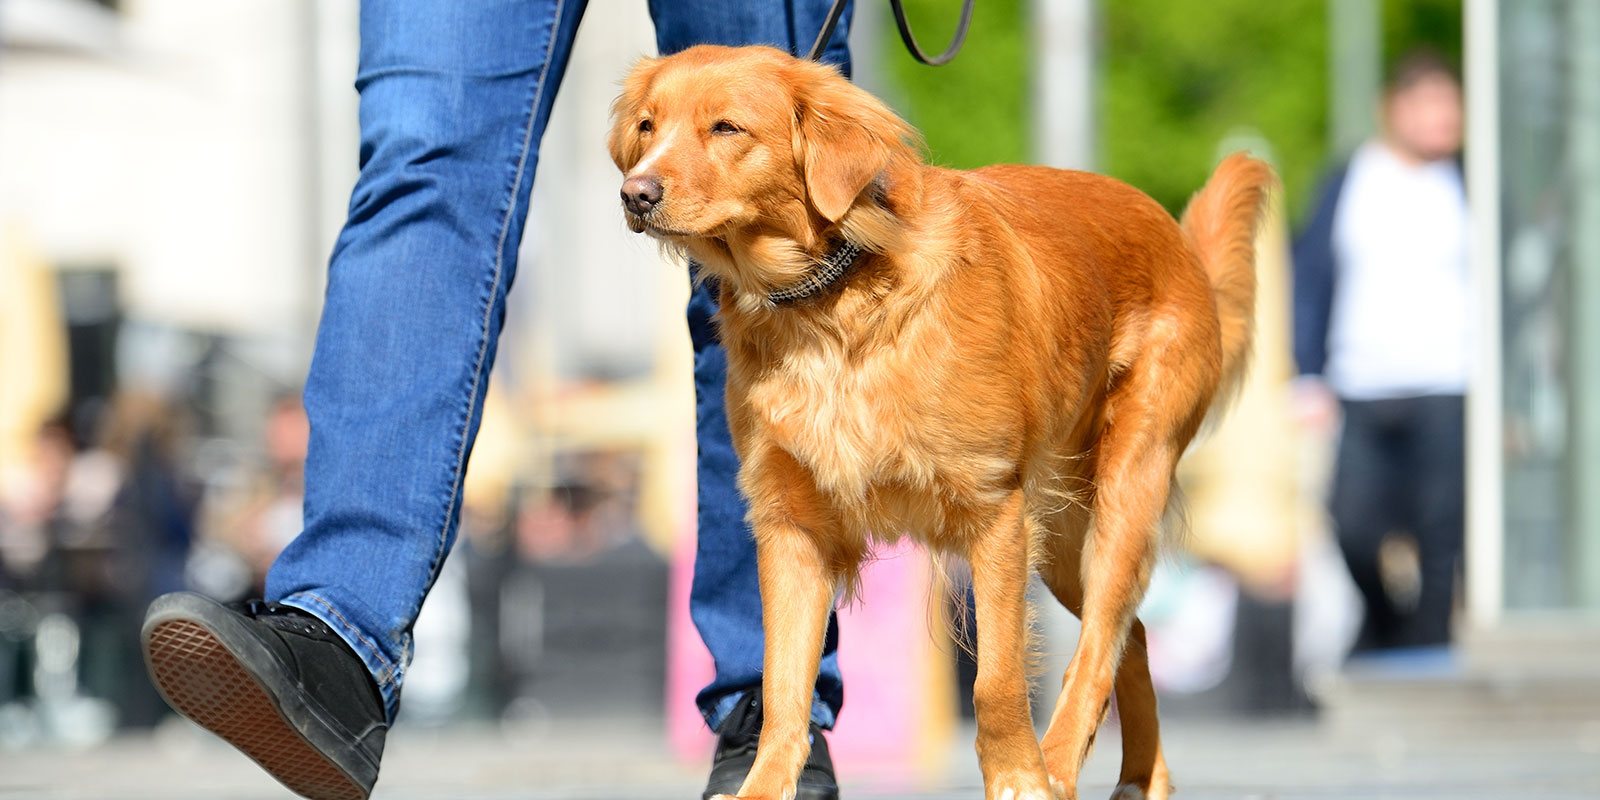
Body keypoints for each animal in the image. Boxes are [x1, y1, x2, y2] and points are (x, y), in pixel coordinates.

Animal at [611, 46, 1273, 800]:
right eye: (646, 126)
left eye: (726, 127)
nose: (634, 193)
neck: (830, 302)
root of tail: (1172, 233)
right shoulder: (791, 524)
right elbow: (782, 687)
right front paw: (762, 787)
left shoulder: (995, 514)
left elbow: (996, 683)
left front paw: (1020, 780)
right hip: (1066, 542)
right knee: (1127, 640)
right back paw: (1140, 779)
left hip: (1125, 494)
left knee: (1098, 648)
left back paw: (1059, 766)